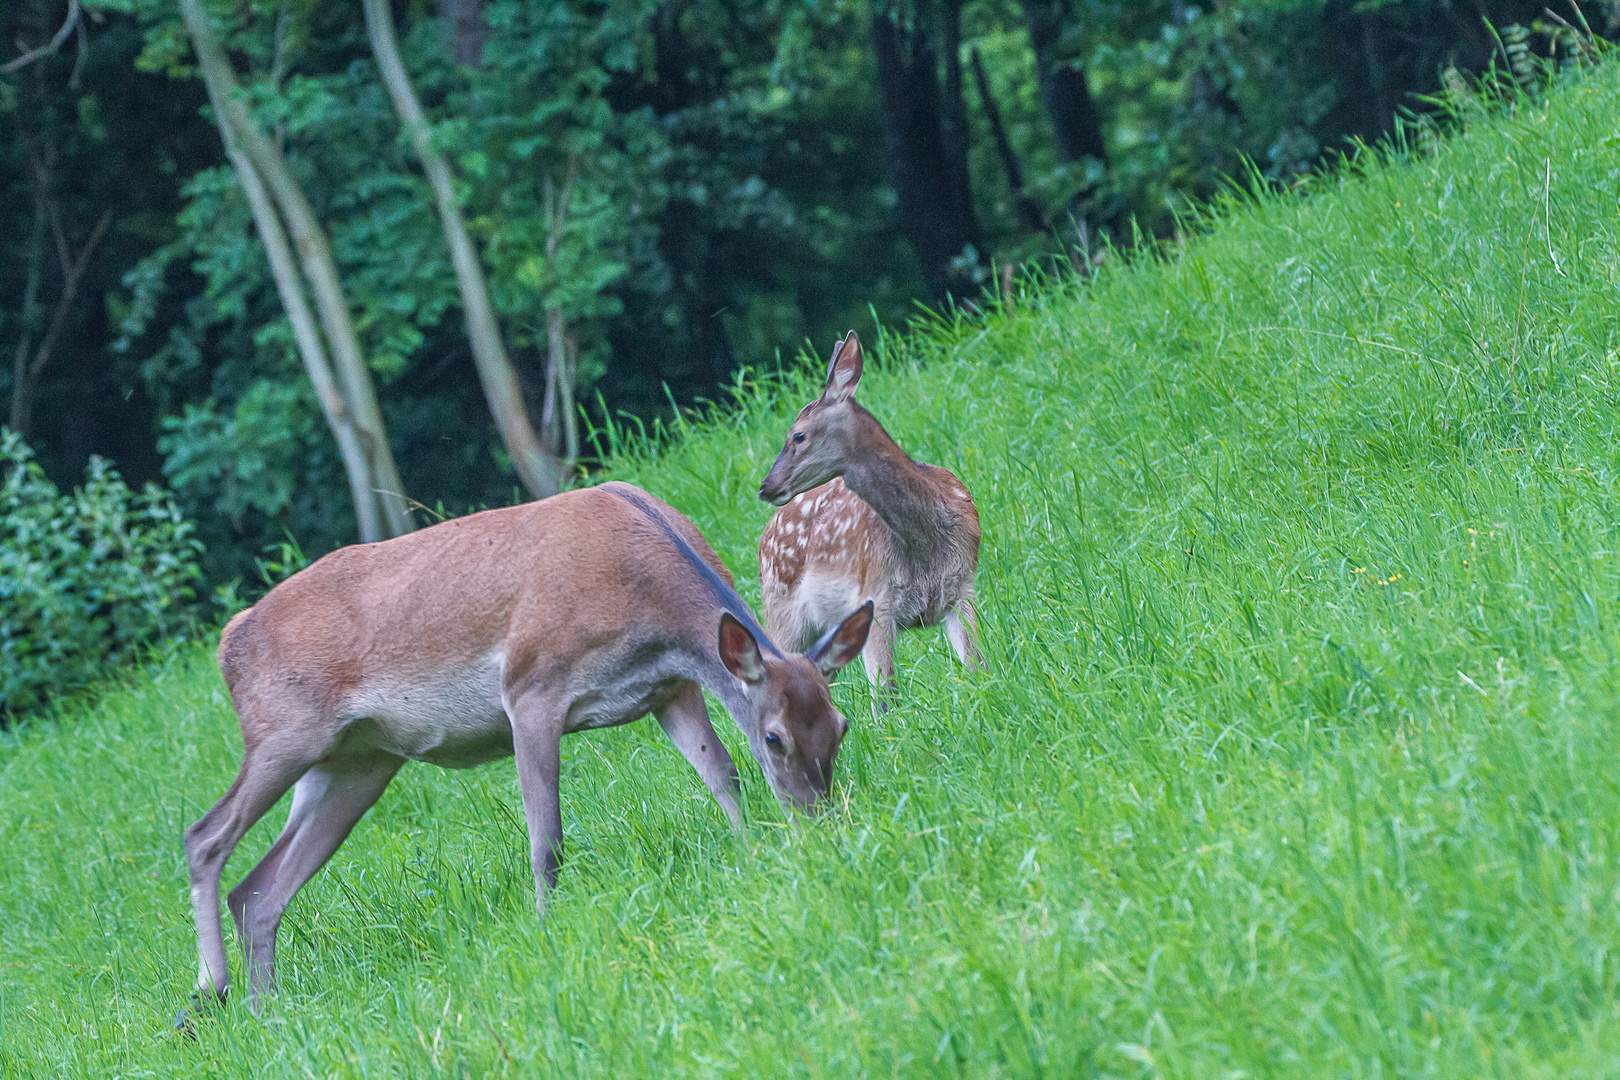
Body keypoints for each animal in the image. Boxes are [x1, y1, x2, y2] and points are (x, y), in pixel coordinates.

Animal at [177, 485, 874, 1016]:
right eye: (775, 736)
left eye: (840, 726)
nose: (819, 824)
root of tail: (227, 641)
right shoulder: (532, 687)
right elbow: (547, 837)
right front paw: (545, 928)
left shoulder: (669, 688)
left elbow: (722, 774)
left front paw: (751, 852)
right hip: (283, 732)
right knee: (204, 835)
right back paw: (212, 989)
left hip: (357, 761)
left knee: (259, 889)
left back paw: (268, 1008)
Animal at [754, 333, 978, 712]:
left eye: (798, 435)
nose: (766, 486)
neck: (927, 538)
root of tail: (764, 537)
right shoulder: (874, 595)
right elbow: (887, 697)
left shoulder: (963, 586)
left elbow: (979, 666)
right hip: (782, 611)